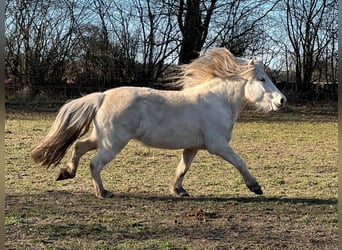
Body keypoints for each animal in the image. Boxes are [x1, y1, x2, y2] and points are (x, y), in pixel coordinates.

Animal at [31, 47, 286, 198]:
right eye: (261, 79)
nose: (282, 100)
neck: (217, 102)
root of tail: (102, 96)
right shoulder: (218, 146)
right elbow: (240, 162)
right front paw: (255, 187)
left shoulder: (192, 147)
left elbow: (183, 168)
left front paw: (179, 190)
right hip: (113, 143)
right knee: (94, 163)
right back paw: (103, 192)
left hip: (102, 138)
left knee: (79, 146)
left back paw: (66, 173)